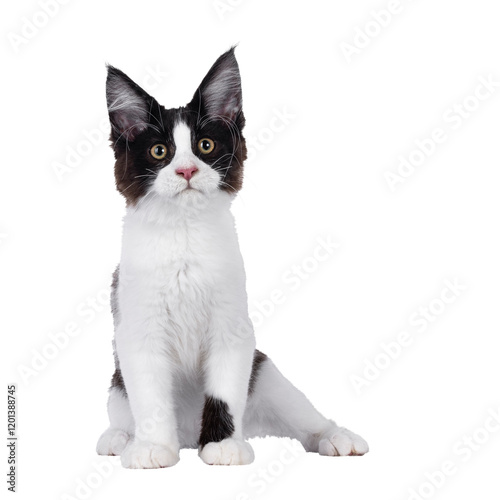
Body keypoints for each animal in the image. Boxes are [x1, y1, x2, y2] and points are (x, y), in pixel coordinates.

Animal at [95, 47, 370, 468]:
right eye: (160, 151)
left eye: (205, 146)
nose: (186, 170)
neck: (185, 234)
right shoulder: (137, 331)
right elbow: (151, 397)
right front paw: (153, 447)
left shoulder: (234, 328)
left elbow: (223, 391)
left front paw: (223, 445)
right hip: (116, 385)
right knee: (122, 410)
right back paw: (120, 438)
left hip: (266, 372)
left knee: (307, 419)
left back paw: (337, 437)